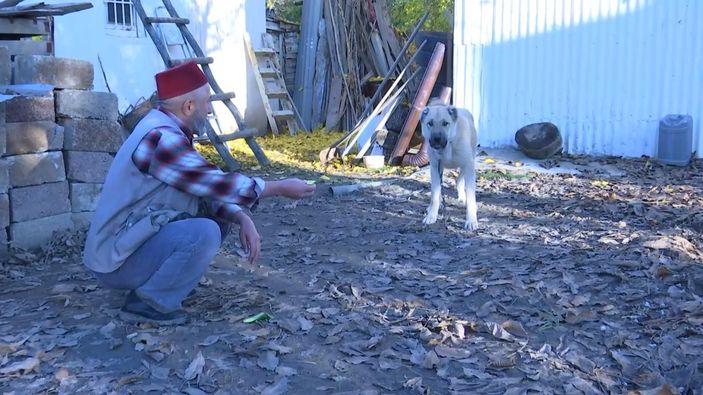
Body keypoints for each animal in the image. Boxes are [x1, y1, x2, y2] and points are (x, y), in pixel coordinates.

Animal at [420, 101, 482, 232]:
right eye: (430, 123)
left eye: (445, 123)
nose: (437, 139)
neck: (448, 145)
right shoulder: (435, 167)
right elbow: (435, 195)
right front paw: (431, 216)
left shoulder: (468, 166)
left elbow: (470, 196)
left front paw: (471, 220)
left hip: (469, 162)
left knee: (459, 180)